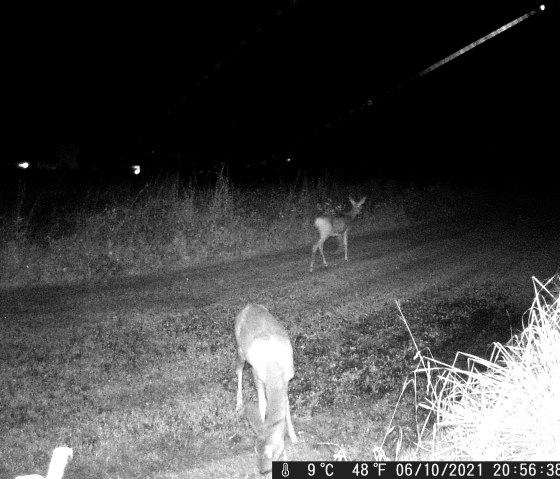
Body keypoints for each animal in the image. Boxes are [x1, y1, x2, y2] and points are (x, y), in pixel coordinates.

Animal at [235, 306, 300, 474]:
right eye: (255, 451)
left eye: (270, 454)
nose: (261, 470)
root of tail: (248, 306)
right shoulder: (258, 376)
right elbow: (262, 404)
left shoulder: (287, 378)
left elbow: (286, 407)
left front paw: (294, 437)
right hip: (239, 348)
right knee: (238, 370)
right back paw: (238, 404)